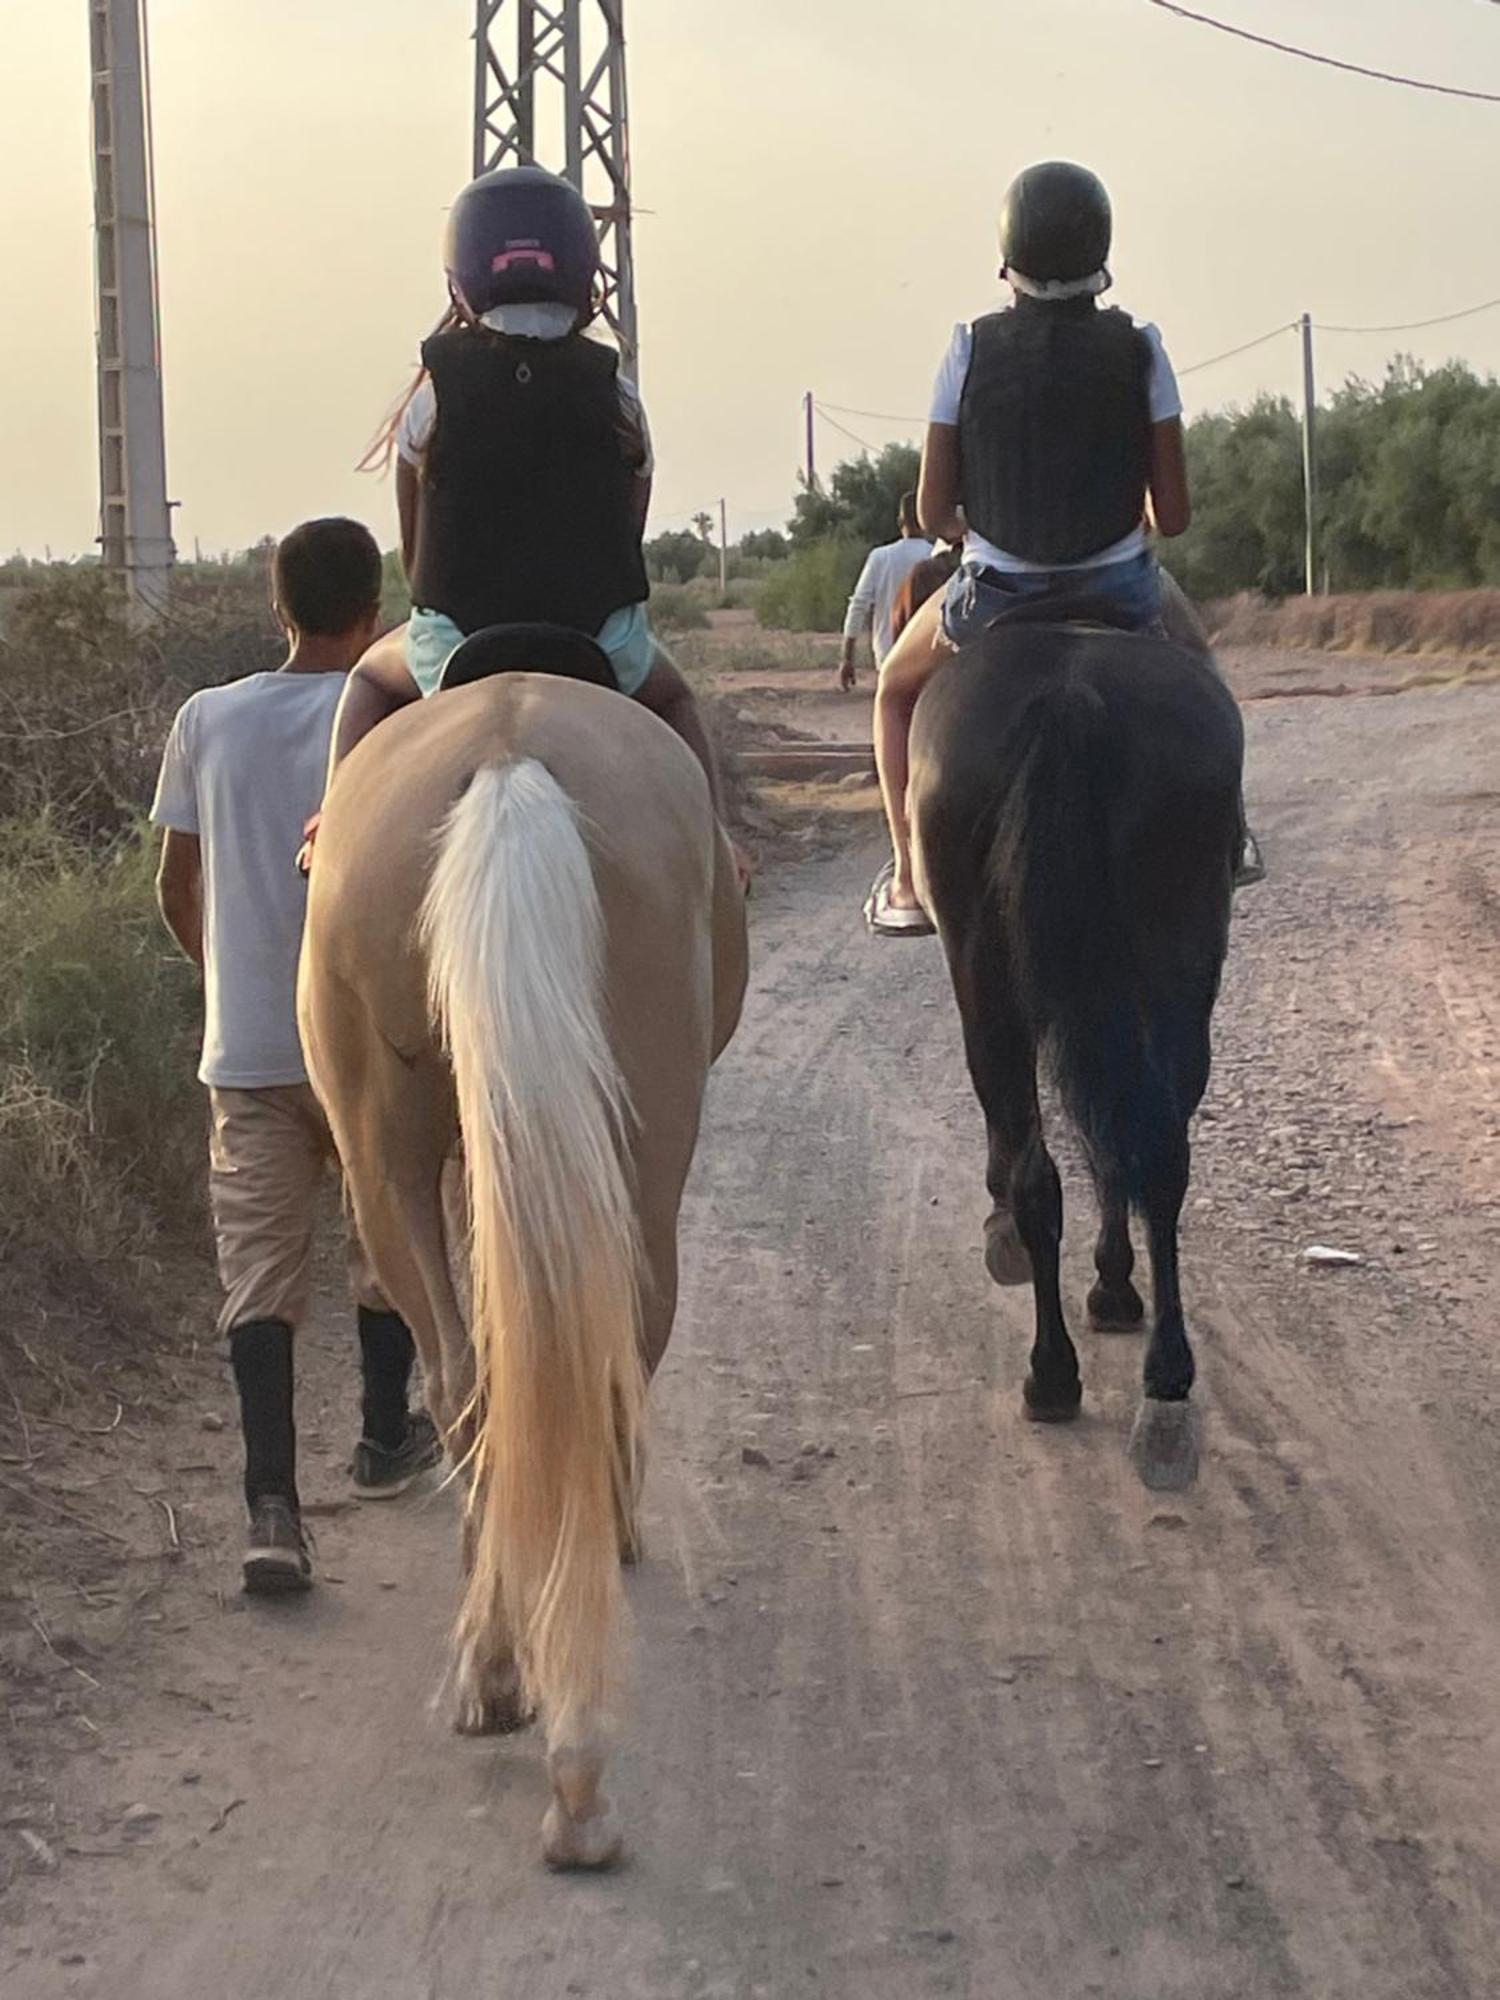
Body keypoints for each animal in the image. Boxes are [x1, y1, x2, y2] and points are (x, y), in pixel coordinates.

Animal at [300, 664, 752, 1864]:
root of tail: (508, 755)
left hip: (385, 1151)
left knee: (467, 1379)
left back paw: (501, 1674)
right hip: (642, 1139)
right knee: (610, 1338)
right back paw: (575, 1747)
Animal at [916, 604, 1248, 1488]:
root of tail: (1072, 697)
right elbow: (1118, 1145)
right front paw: (1114, 1285)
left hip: (989, 971)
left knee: (1051, 1164)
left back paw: (1056, 1371)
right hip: (1178, 954)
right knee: (1158, 1155)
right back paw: (1161, 1382)